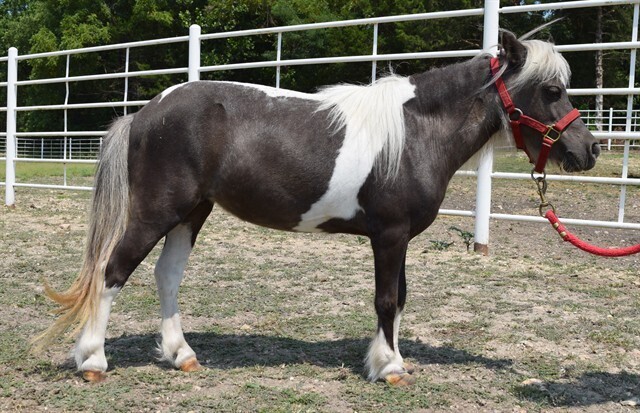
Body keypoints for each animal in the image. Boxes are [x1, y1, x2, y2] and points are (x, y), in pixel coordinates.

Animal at [32, 31, 600, 386]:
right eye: (552, 89)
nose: (588, 150)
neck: (416, 131)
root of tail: (146, 112)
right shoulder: (390, 235)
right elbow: (387, 301)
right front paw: (390, 369)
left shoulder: (397, 239)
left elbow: (399, 300)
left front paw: (387, 360)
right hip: (156, 212)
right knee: (112, 272)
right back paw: (93, 361)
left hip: (192, 213)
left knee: (166, 276)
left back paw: (182, 356)